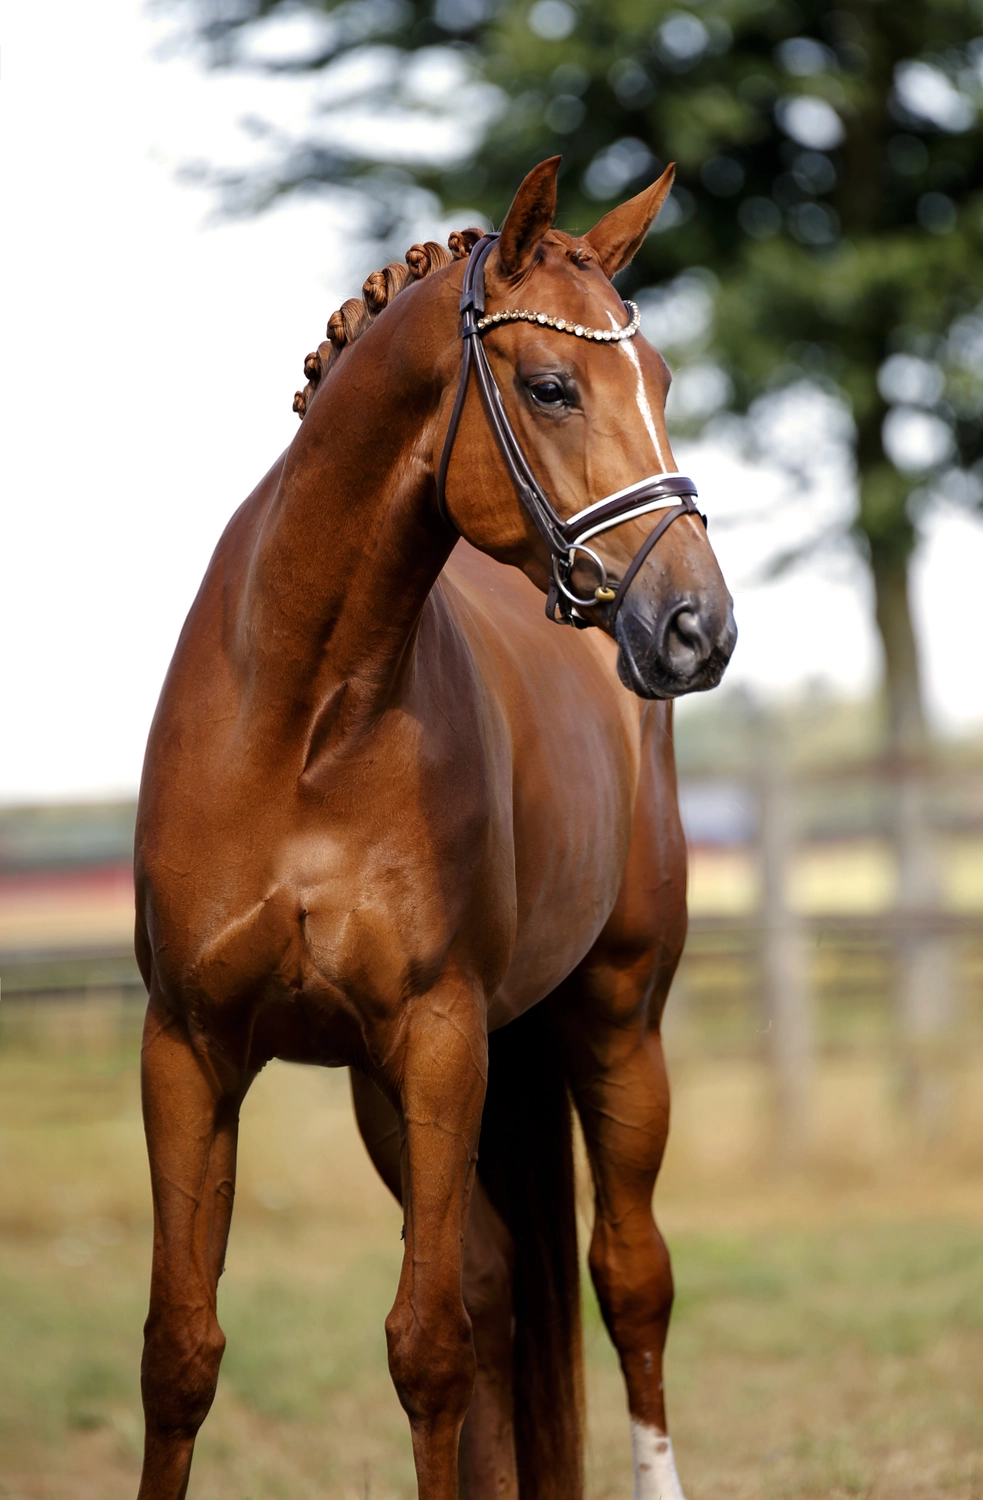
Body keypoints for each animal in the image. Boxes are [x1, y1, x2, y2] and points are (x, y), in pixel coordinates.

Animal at [133, 155, 736, 1500]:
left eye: (664, 380)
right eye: (552, 384)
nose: (698, 628)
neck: (302, 720)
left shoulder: (440, 1037)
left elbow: (426, 1344)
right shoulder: (189, 1049)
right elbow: (181, 1352)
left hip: (615, 1026)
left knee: (629, 1280)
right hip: (387, 1090)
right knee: (499, 1283)